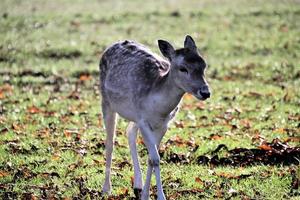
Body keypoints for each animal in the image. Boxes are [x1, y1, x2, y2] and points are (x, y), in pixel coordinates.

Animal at [99, 35, 210, 199]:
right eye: (183, 68)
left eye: (204, 65)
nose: (205, 92)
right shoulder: (143, 120)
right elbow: (155, 158)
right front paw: (161, 196)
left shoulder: (163, 124)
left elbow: (152, 158)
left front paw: (145, 195)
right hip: (106, 100)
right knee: (110, 143)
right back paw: (106, 188)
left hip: (134, 115)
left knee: (129, 132)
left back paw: (137, 186)